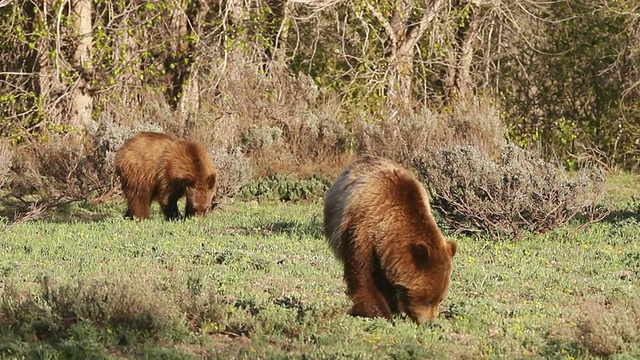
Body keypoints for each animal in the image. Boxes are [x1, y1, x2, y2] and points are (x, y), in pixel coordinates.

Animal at [324, 156, 456, 324]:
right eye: (428, 300)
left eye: (440, 299)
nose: (429, 323)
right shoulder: (362, 231)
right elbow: (363, 275)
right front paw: (381, 313)